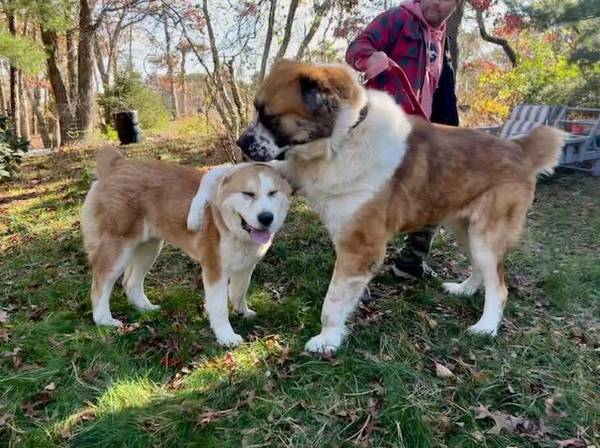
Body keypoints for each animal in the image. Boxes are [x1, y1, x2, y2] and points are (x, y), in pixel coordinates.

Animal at [81, 147, 292, 346]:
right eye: (248, 194)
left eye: (273, 193)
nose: (266, 218)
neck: (227, 224)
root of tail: (116, 163)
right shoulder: (215, 270)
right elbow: (219, 307)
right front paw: (226, 335)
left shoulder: (246, 266)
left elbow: (239, 292)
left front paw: (243, 312)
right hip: (117, 248)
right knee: (100, 285)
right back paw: (104, 320)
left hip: (150, 248)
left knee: (130, 282)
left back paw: (145, 308)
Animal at [188, 60, 564, 354]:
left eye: (271, 116)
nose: (241, 142)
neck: (343, 139)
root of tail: (518, 147)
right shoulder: (294, 172)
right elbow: (225, 172)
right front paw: (196, 208)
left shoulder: (360, 245)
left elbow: (333, 301)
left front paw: (327, 340)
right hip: (465, 228)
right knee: (481, 269)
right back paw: (465, 289)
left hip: (485, 235)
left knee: (499, 286)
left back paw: (486, 327)